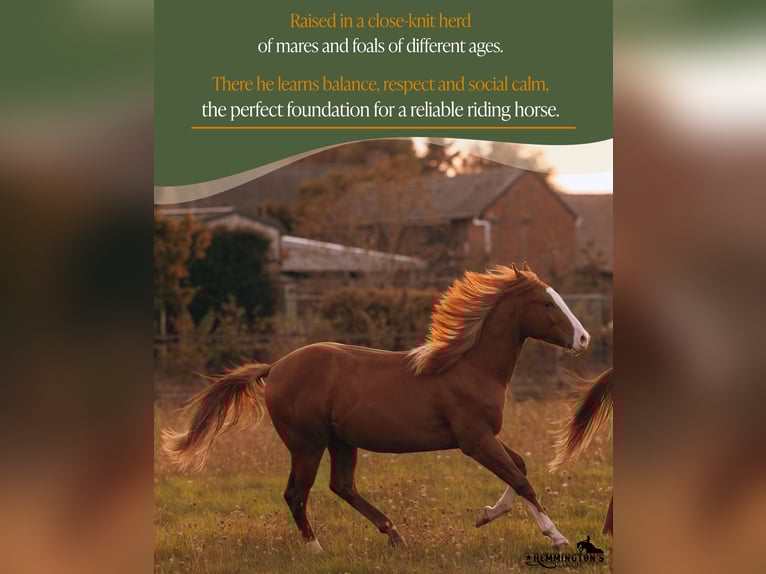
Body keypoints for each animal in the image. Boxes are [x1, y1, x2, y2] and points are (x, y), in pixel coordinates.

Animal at [162, 263, 591, 552]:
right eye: (546, 302)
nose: (584, 339)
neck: (469, 367)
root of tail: (276, 366)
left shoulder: (485, 437)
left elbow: (519, 468)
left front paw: (485, 515)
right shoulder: (475, 440)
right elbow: (521, 479)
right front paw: (557, 537)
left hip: (341, 442)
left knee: (342, 486)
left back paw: (396, 535)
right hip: (307, 443)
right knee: (296, 494)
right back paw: (317, 549)